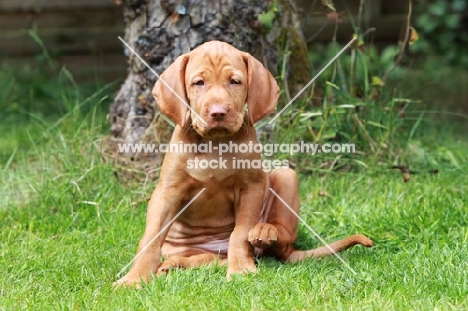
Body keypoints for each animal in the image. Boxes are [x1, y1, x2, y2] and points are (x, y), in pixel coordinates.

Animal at [114, 40, 372, 288]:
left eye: (235, 82)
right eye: (199, 83)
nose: (218, 112)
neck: (215, 144)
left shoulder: (251, 187)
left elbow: (239, 233)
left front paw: (240, 270)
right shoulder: (168, 192)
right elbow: (150, 239)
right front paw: (135, 278)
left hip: (285, 175)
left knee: (281, 242)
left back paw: (265, 232)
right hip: (194, 249)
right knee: (207, 260)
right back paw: (172, 264)